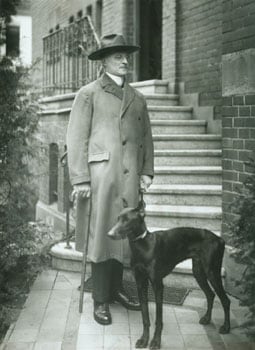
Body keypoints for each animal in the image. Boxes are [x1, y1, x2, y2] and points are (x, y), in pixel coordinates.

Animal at [106, 202, 230, 350]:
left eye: (127, 220)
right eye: (118, 218)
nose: (109, 234)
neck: (142, 245)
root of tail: (219, 238)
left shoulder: (158, 285)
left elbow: (159, 319)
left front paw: (155, 341)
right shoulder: (140, 283)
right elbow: (145, 317)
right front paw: (144, 339)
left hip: (212, 273)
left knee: (225, 300)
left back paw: (226, 327)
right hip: (199, 272)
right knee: (210, 294)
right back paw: (207, 318)